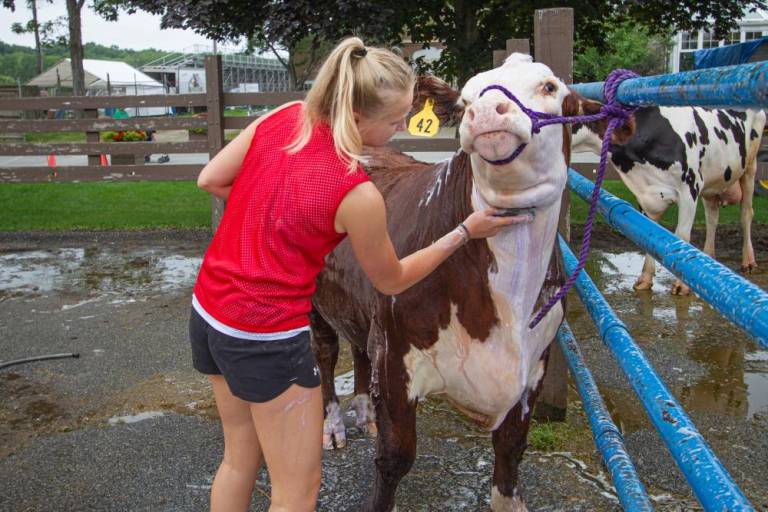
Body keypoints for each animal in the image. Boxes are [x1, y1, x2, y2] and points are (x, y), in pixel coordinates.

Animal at [312, 53, 624, 512]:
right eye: (464, 101)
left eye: (550, 87)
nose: (486, 112)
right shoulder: (393, 355)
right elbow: (394, 458)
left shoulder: (536, 361)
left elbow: (511, 450)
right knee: (326, 354)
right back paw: (333, 423)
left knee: (356, 345)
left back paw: (365, 413)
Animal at [572, 100, 764, 294]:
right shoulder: (645, 194)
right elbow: (650, 235)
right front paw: (645, 279)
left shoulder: (690, 189)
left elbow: (682, 236)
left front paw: (682, 285)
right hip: (712, 182)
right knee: (712, 217)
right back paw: (708, 255)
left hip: (750, 167)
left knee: (746, 214)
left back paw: (748, 261)